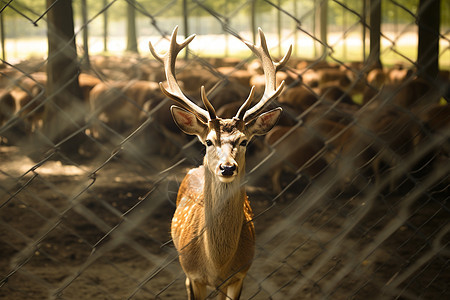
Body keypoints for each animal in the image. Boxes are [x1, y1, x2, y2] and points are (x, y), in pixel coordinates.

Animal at [149, 27, 294, 298]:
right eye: (208, 141)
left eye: (244, 141)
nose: (227, 167)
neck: (217, 263)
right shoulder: (193, 275)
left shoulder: (241, 275)